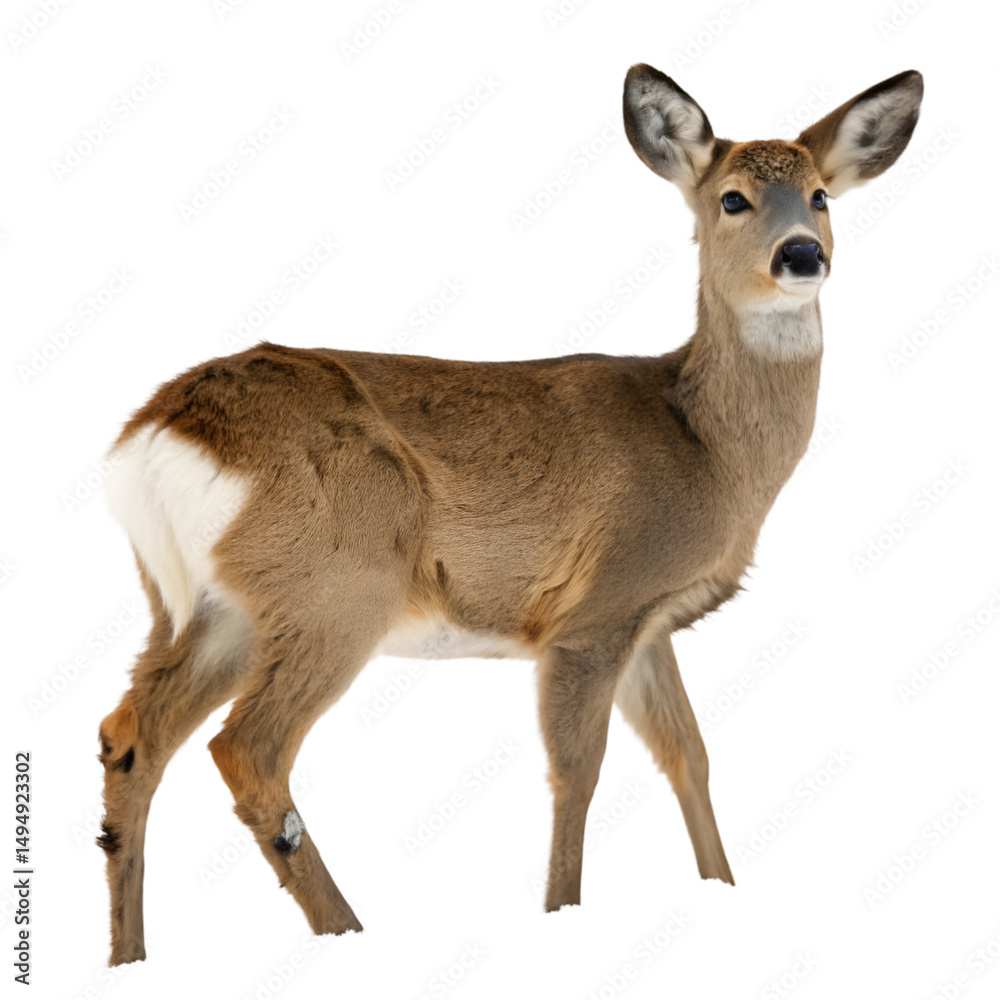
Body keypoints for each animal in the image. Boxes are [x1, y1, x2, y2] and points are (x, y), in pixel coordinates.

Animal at [97, 63, 923, 963]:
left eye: (820, 195)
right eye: (732, 198)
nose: (802, 254)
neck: (705, 447)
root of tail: (158, 430)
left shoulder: (650, 622)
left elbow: (690, 756)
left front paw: (723, 891)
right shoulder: (596, 610)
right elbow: (579, 773)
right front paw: (562, 915)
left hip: (210, 607)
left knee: (131, 733)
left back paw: (129, 955)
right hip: (338, 584)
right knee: (245, 748)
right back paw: (348, 932)